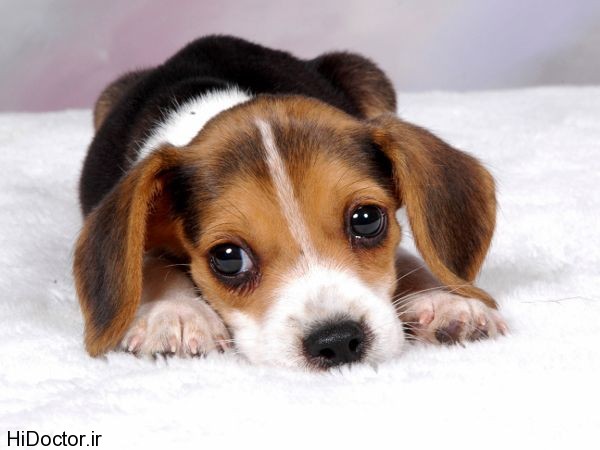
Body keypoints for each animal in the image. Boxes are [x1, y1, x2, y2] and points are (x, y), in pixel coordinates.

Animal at [74, 35, 506, 369]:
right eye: (228, 258)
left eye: (367, 219)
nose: (337, 342)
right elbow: (149, 260)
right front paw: (176, 314)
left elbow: (407, 256)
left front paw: (446, 300)